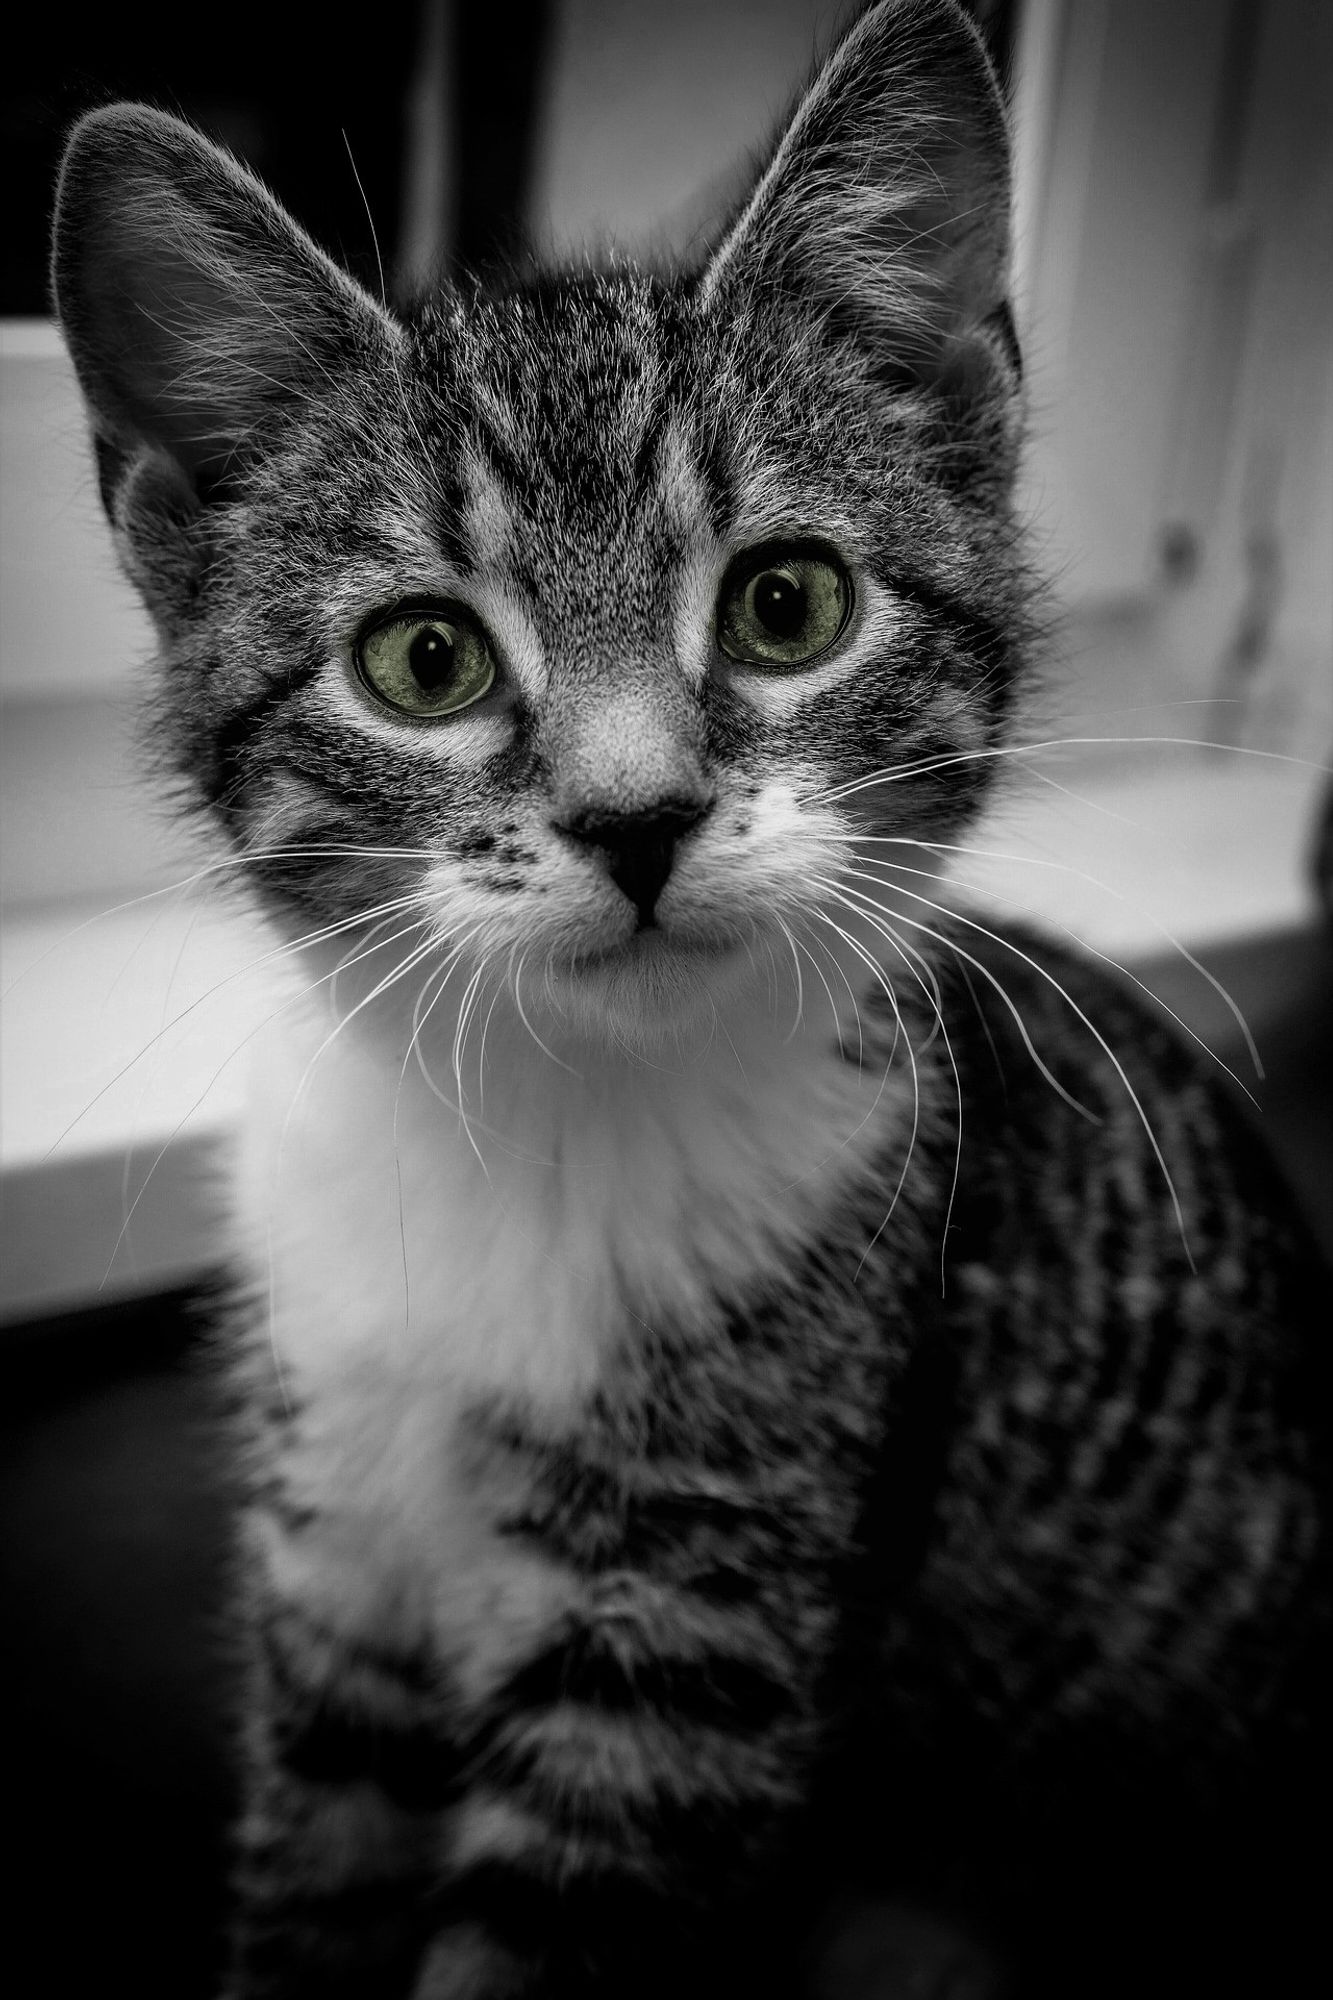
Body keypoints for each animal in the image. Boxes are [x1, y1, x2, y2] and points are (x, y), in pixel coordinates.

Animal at [46, 3, 1320, 2000]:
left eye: (787, 605)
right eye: (424, 659)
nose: (633, 816)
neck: (548, 1124)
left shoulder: (687, 1650)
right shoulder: (332, 1577)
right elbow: (310, 1884)